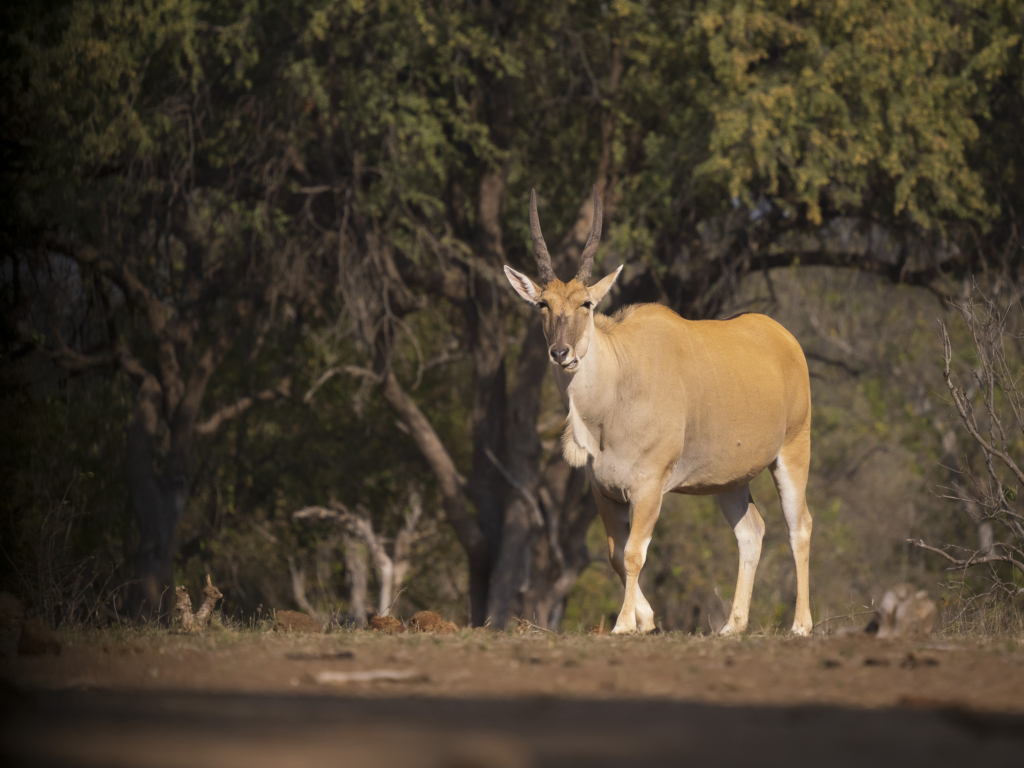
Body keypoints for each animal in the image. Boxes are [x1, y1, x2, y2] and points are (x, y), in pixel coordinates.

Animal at [503, 188, 815, 638]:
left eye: (587, 303)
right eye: (542, 303)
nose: (561, 353)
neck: (617, 389)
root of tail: (783, 338)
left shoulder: (649, 488)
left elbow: (635, 553)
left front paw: (623, 625)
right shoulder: (604, 493)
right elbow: (616, 554)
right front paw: (646, 620)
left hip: (791, 453)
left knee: (799, 526)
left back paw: (801, 625)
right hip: (729, 481)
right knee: (751, 532)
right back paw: (732, 626)